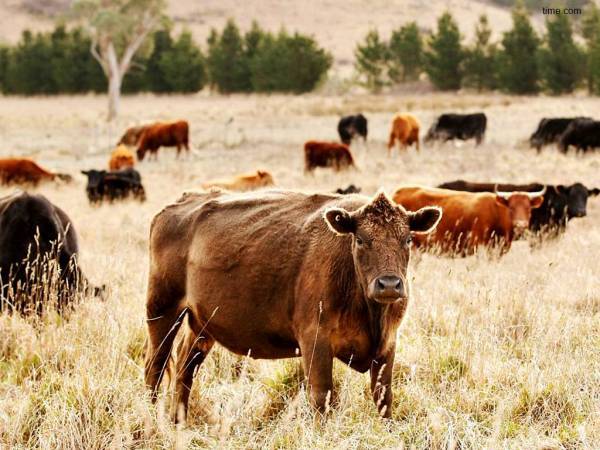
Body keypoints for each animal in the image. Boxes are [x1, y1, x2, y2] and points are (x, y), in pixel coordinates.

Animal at [144, 189, 440, 422]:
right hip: (162, 311)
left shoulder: (387, 345)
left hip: (201, 325)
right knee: (156, 367)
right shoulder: (315, 341)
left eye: (408, 239)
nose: (389, 284)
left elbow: (384, 398)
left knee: (184, 368)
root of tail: (179, 203)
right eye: (360, 239)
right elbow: (321, 397)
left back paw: (179, 422)